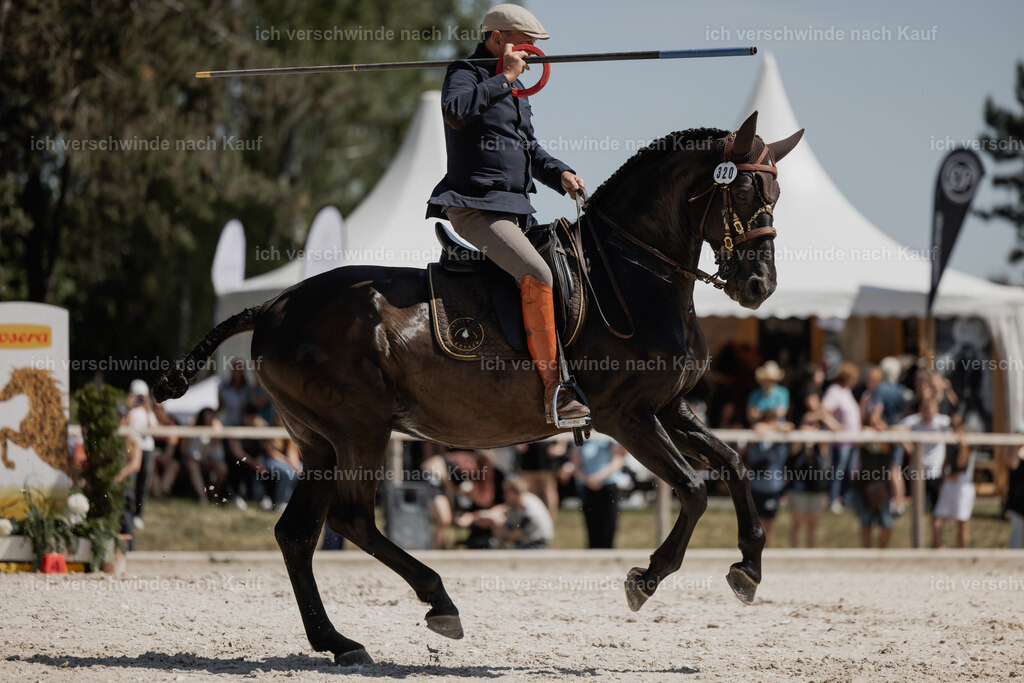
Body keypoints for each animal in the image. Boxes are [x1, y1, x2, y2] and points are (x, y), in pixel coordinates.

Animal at [155, 111, 803, 665]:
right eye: (745, 194)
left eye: (775, 197)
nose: (758, 286)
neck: (630, 274)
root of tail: (273, 306)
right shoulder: (628, 417)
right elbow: (693, 488)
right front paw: (645, 578)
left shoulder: (668, 407)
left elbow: (733, 464)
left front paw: (748, 568)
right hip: (358, 431)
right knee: (351, 519)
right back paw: (438, 601)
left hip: (318, 442)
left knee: (297, 534)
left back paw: (338, 642)